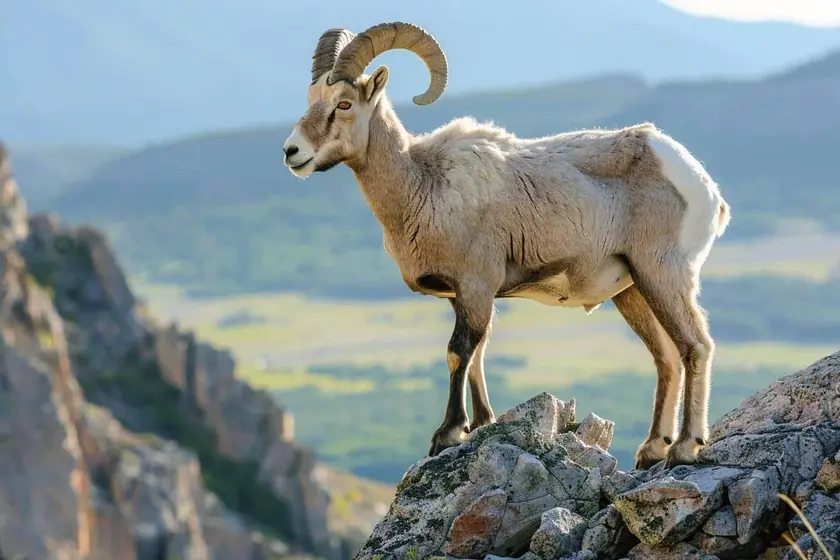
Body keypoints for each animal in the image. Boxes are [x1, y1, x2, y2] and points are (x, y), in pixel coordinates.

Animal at [282, 22, 731, 469]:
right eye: (312, 99)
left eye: (344, 104)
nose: (292, 152)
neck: (424, 185)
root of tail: (702, 185)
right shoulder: (463, 296)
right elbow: (477, 356)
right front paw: (481, 423)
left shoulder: (477, 285)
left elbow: (459, 352)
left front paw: (447, 434)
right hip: (633, 289)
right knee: (666, 358)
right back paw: (652, 449)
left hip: (663, 273)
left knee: (695, 346)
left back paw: (685, 446)